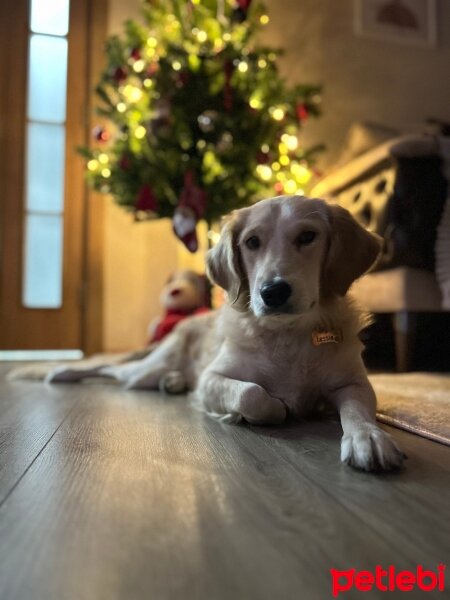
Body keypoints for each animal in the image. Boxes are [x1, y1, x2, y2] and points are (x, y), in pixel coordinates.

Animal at [12, 195, 404, 472]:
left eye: (308, 236)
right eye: (252, 242)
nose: (273, 292)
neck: (287, 335)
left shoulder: (352, 382)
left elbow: (357, 409)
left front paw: (368, 437)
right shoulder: (213, 378)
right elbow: (253, 394)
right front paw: (269, 409)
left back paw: (171, 383)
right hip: (146, 368)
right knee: (109, 369)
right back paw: (60, 373)